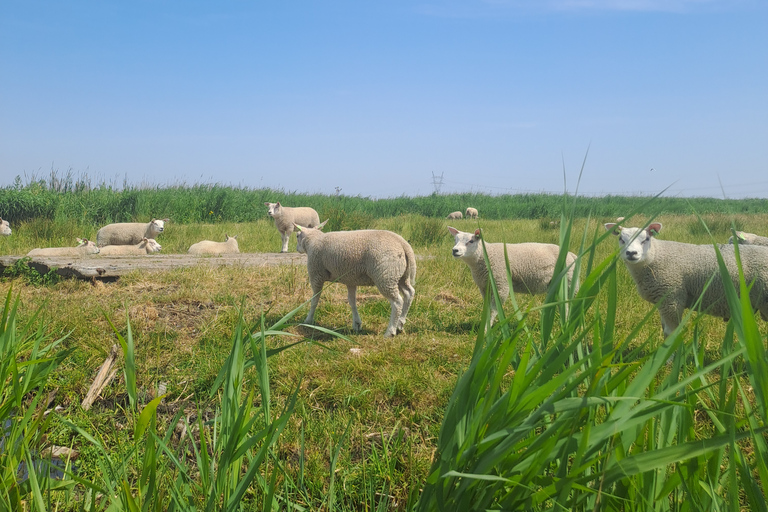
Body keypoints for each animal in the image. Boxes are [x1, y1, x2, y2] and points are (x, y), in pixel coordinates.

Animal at [448, 227, 580, 324]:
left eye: (471, 241)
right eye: (455, 240)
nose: (455, 250)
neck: (484, 256)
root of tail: (572, 255)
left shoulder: (501, 284)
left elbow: (493, 310)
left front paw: (487, 330)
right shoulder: (485, 287)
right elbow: (487, 308)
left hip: (568, 282)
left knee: (568, 304)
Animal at [604, 221, 768, 336]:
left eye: (646, 239)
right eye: (621, 239)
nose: (631, 253)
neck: (655, 256)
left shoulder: (672, 297)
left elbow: (670, 333)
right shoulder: (663, 300)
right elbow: (665, 330)